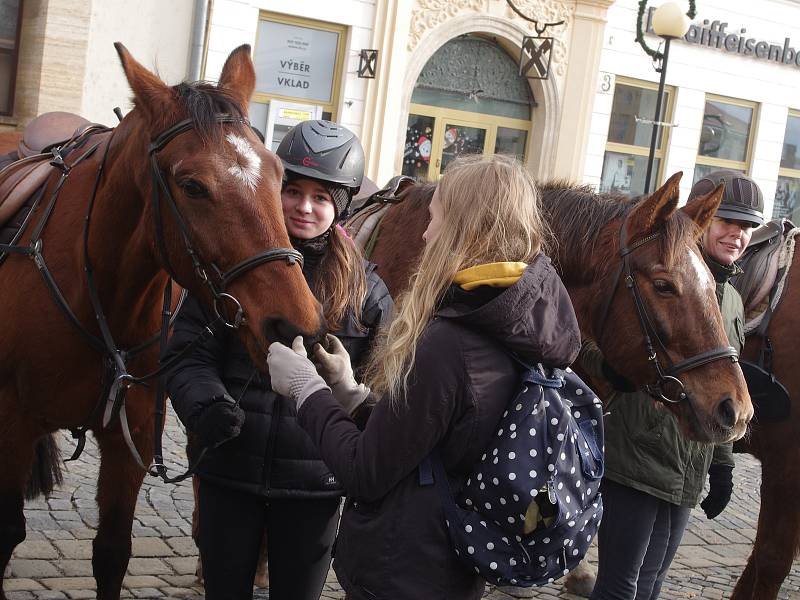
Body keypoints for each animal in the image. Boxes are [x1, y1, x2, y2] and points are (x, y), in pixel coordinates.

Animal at [1, 43, 324, 600]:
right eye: (192, 186)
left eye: (277, 175)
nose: (294, 324)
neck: (101, 295)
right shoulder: (12, 423)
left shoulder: (130, 434)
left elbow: (112, 553)